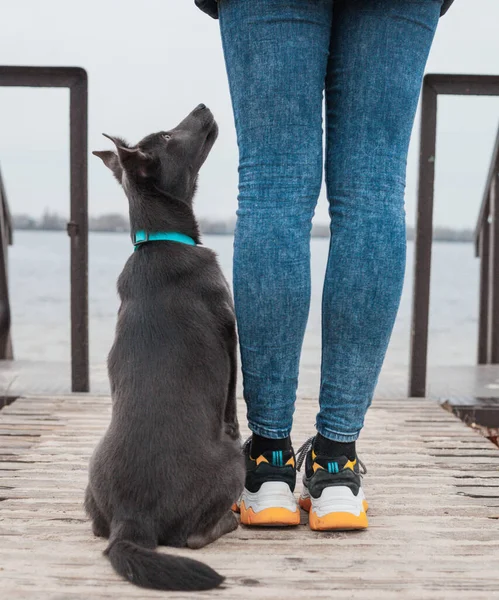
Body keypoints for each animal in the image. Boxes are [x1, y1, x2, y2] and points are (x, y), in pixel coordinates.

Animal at [86, 104, 246, 592]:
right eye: (169, 136)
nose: (202, 107)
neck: (159, 241)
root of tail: (131, 521)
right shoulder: (229, 328)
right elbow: (232, 398)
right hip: (233, 463)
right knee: (191, 538)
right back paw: (229, 521)